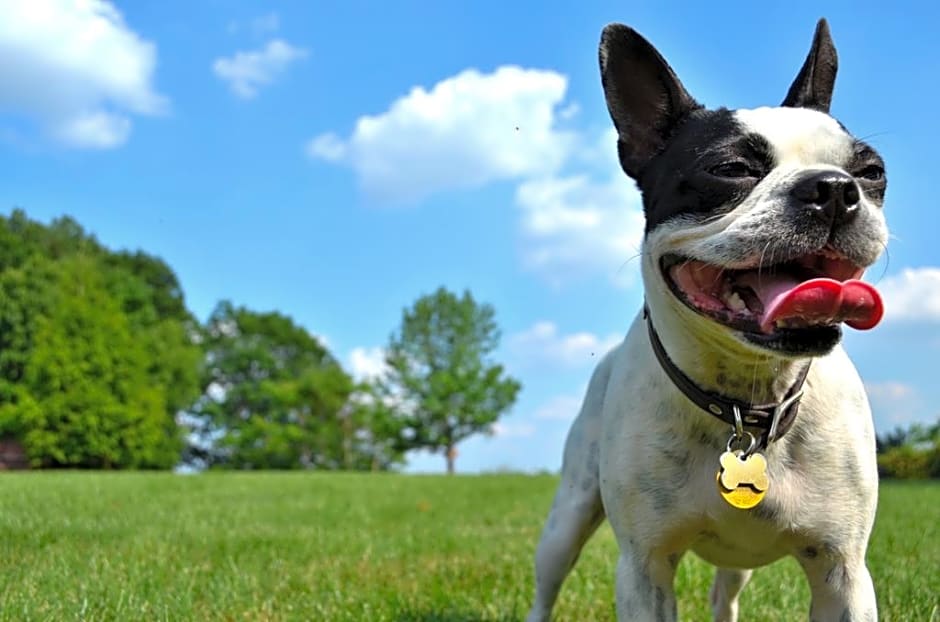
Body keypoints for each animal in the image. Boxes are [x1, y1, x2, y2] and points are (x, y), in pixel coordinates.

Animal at [528, 19, 888, 622]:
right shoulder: (644, 568)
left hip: (738, 562)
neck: (747, 400)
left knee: (725, 595)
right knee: (547, 582)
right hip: (568, 517)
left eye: (871, 171)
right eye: (730, 169)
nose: (836, 188)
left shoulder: (844, 572)